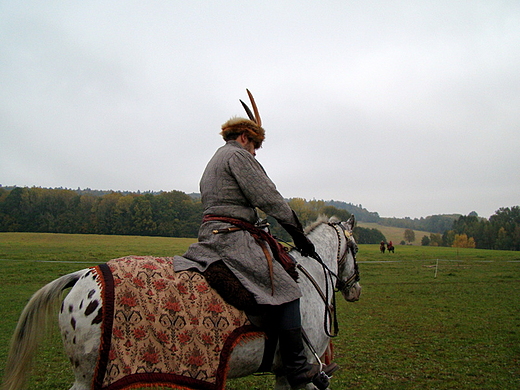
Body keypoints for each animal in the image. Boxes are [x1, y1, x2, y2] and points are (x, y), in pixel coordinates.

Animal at [3, 216, 362, 390]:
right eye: (356, 248)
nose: (355, 289)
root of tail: (84, 275)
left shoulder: (284, 376)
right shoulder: (306, 374)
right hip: (89, 379)